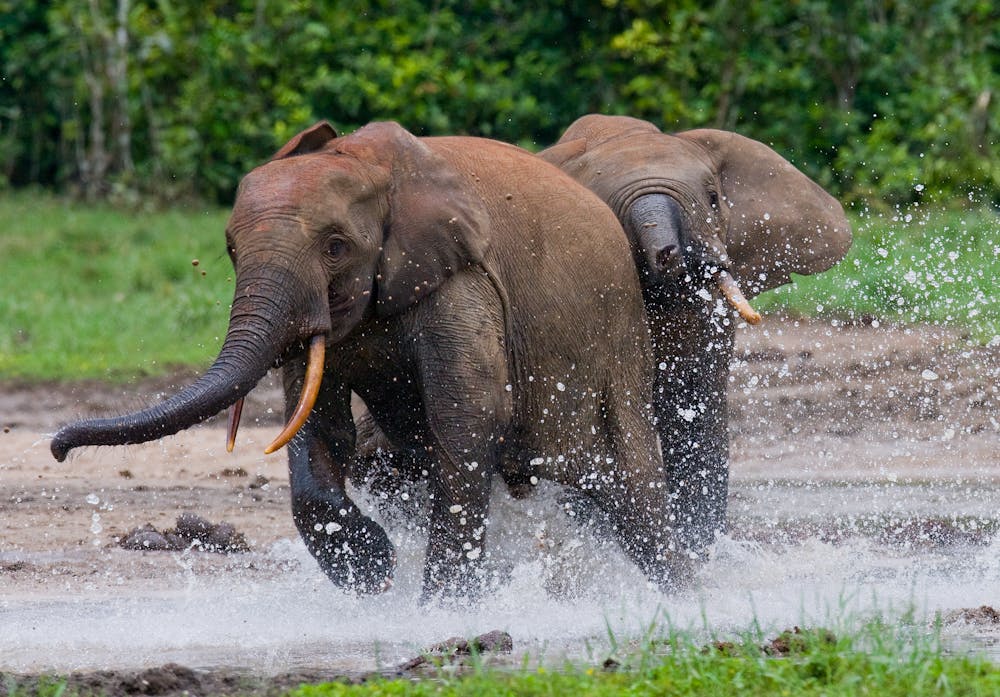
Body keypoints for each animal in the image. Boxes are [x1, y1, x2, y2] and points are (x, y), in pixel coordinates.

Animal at [51, 120, 690, 600]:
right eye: (231, 250)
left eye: (336, 246)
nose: (57, 447)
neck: (371, 168)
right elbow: (317, 424)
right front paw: (375, 573)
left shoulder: (461, 279)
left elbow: (468, 416)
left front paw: (439, 611)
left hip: (619, 351)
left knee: (633, 493)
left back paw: (681, 596)